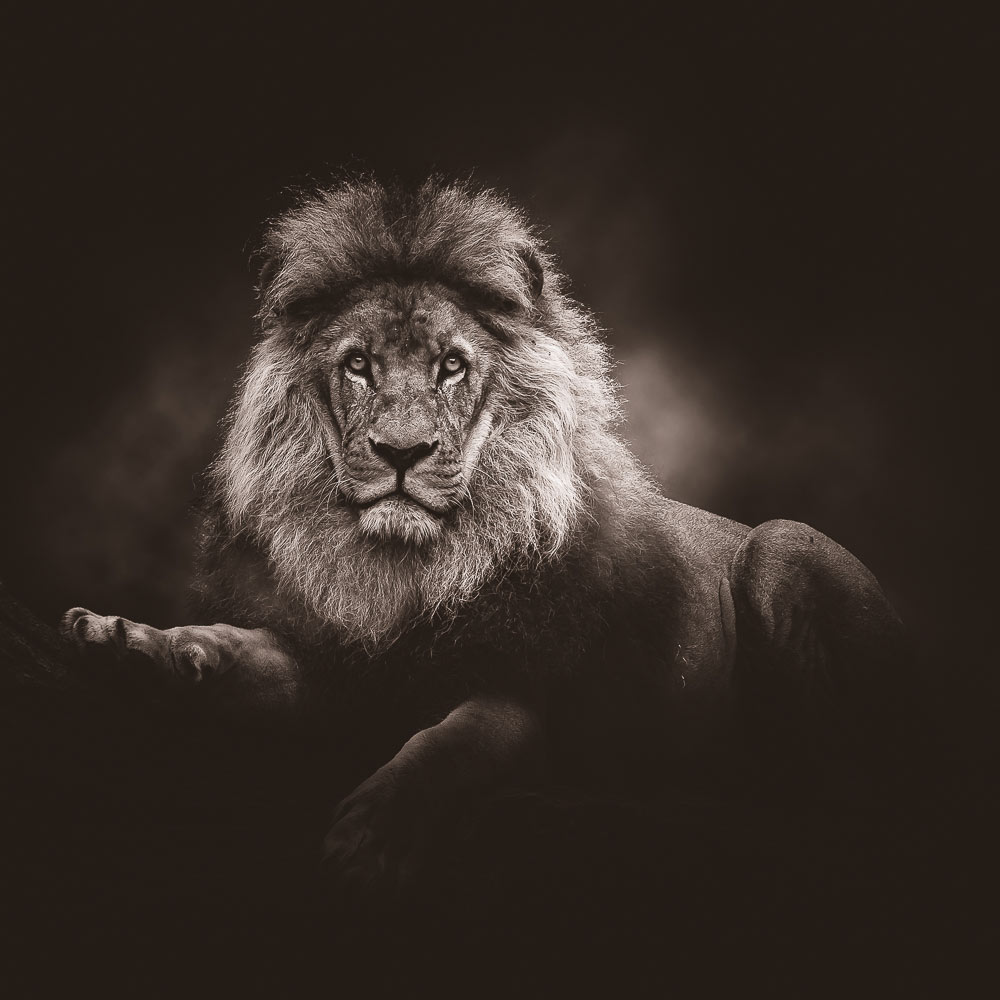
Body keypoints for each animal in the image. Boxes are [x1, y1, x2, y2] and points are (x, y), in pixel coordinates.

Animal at [63, 178, 905, 893]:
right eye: (358, 366)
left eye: (452, 367)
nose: (401, 453)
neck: (402, 571)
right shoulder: (334, 668)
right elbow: (234, 647)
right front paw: (126, 641)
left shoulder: (535, 692)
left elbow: (455, 741)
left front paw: (371, 835)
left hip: (780, 548)